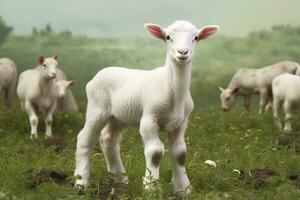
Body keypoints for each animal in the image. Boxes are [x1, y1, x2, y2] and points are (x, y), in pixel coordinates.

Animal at [74, 20, 219, 197]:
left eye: (196, 38)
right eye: (168, 37)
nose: (183, 52)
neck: (170, 88)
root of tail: (98, 74)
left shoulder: (181, 122)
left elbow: (179, 152)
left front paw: (183, 189)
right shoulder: (149, 118)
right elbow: (155, 151)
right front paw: (151, 187)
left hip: (118, 116)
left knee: (109, 139)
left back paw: (120, 180)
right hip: (97, 108)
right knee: (85, 138)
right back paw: (81, 182)